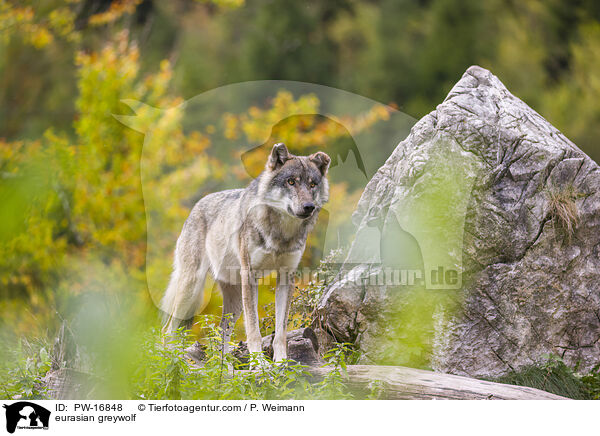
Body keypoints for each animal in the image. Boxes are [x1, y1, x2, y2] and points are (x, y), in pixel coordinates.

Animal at [161, 143, 328, 362]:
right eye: (291, 182)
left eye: (312, 184)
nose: (308, 207)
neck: (281, 234)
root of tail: (196, 206)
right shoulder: (250, 276)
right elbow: (253, 328)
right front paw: (260, 364)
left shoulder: (286, 277)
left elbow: (281, 332)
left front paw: (281, 362)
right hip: (193, 289)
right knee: (168, 329)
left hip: (233, 301)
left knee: (220, 336)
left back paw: (225, 367)